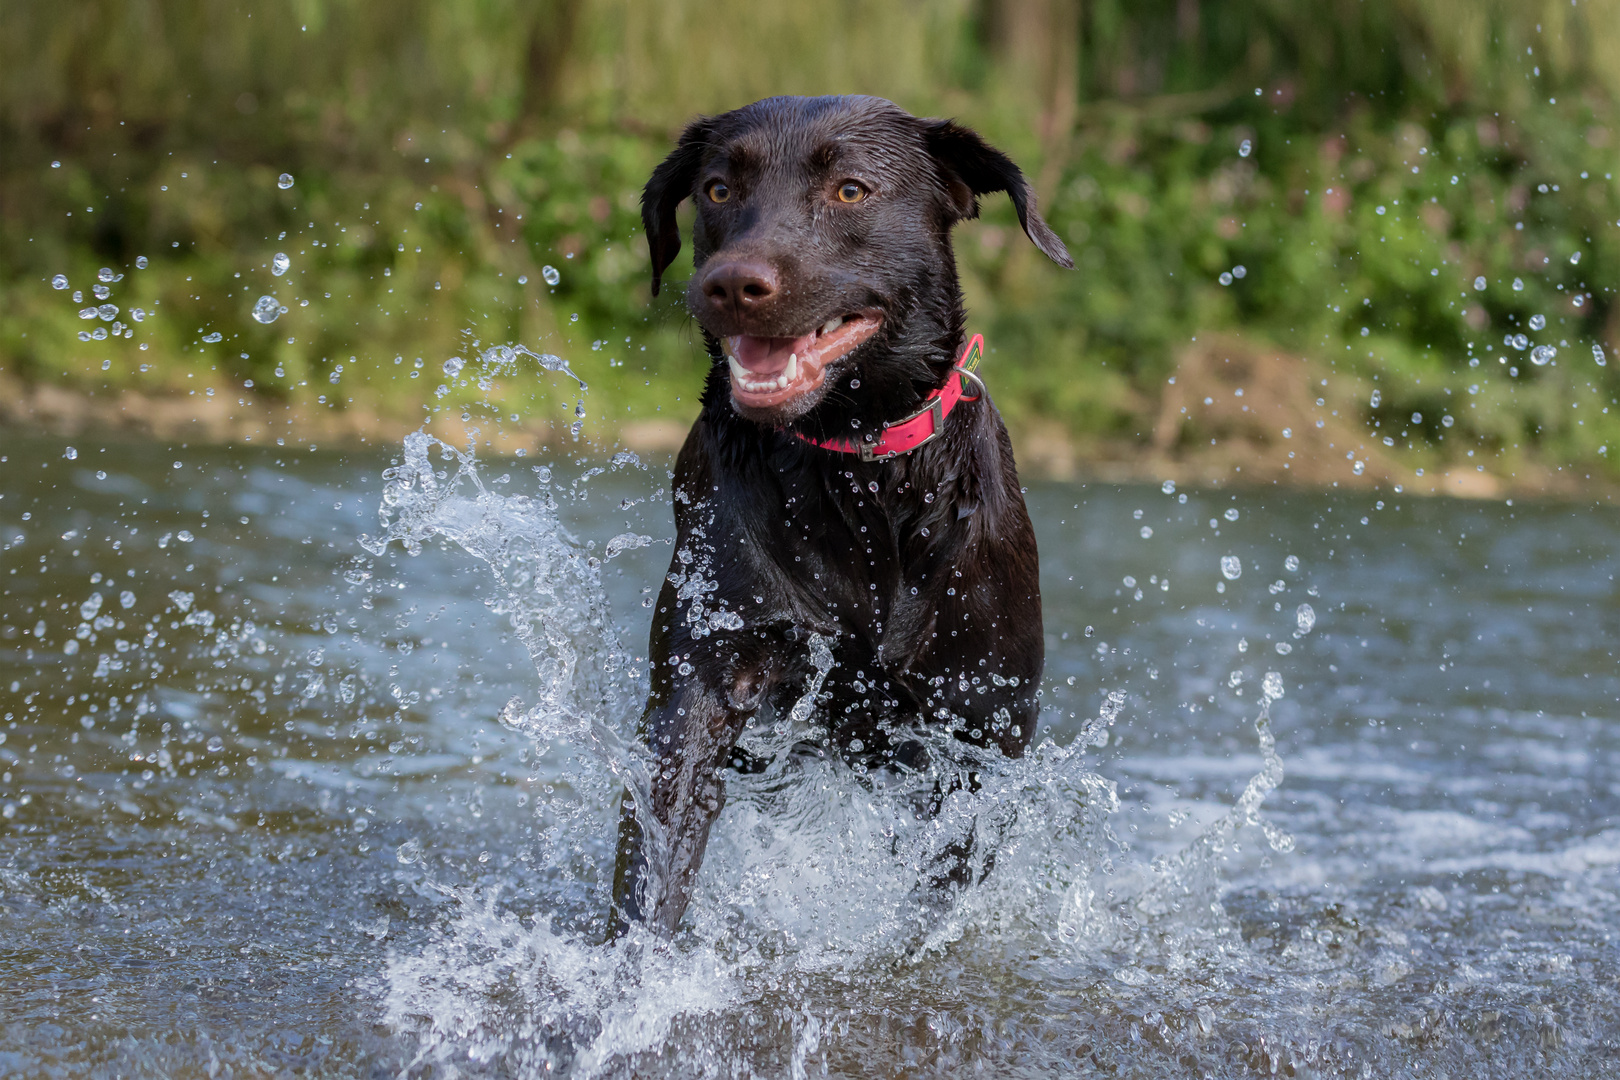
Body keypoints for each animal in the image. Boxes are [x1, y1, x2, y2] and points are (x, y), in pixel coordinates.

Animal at [605, 95, 1062, 939]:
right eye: (718, 189)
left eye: (850, 190)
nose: (731, 283)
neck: (855, 472)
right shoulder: (701, 679)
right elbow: (655, 859)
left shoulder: (982, 726)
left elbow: (936, 894)